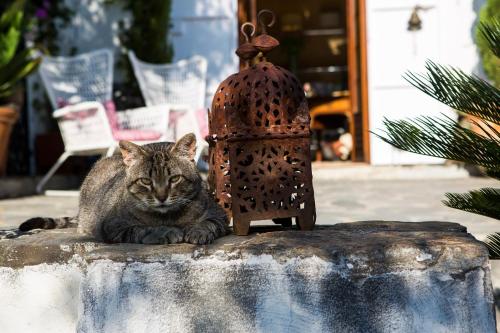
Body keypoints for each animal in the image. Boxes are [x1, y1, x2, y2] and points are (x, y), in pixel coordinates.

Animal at [19, 133, 229, 244]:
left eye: (175, 178)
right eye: (145, 181)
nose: (161, 197)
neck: (169, 217)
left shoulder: (219, 215)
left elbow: (209, 223)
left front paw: (198, 231)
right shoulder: (114, 225)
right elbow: (144, 229)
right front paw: (165, 232)